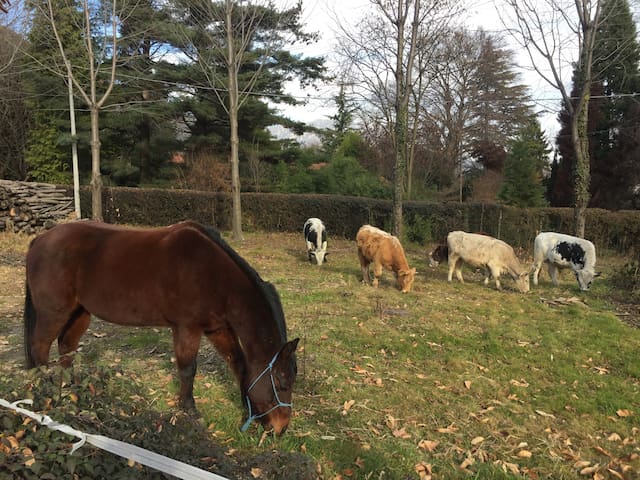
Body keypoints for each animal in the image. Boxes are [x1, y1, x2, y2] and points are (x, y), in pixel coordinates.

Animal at [25, 221, 300, 436]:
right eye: (282, 383)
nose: (280, 428)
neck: (214, 274)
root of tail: (40, 239)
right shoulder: (187, 327)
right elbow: (188, 369)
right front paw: (188, 409)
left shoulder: (217, 329)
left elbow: (239, 365)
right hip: (54, 312)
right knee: (40, 347)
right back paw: (46, 391)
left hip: (79, 312)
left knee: (67, 346)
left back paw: (73, 389)